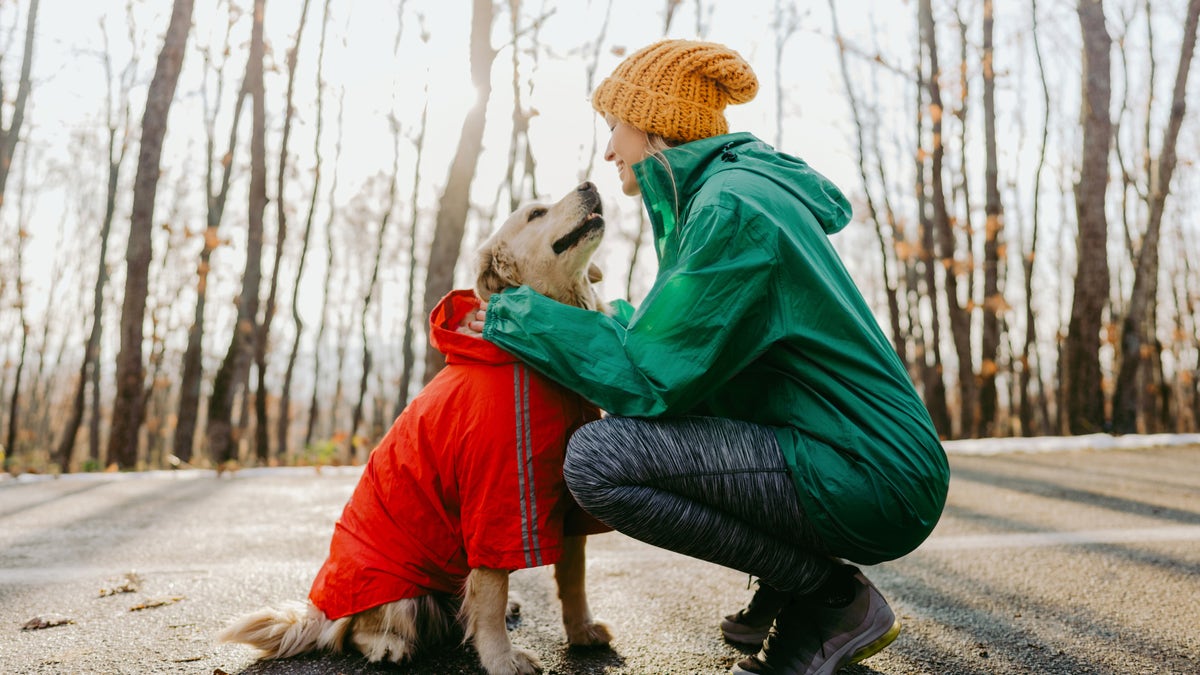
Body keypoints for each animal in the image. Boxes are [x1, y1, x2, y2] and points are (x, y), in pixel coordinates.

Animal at [218, 180, 609, 672]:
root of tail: (321, 610)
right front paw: (502, 658)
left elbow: (573, 578)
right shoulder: (496, 500)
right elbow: (490, 595)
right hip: (398, 593)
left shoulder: (570, 500)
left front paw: (581, 631)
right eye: (536, 214)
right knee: (353, 632)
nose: (590, 184)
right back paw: (387, 645)